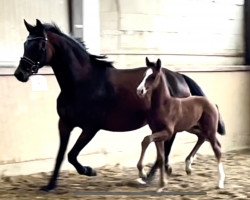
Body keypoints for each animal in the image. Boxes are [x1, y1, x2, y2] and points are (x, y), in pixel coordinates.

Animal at [136, 57, 226, 192]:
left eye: (152, 76)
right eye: (144, 75)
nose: (139, 90)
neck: (164, 105)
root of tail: (212, 103)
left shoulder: (167, 132)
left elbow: (146, 140)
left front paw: (142, 173)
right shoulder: (157, 132)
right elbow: (160, 157)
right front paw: (161, 185)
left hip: (210, 130)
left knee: (217, 149)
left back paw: (220, 182)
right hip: (192, 128)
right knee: (201, 138)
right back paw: (188, 166)